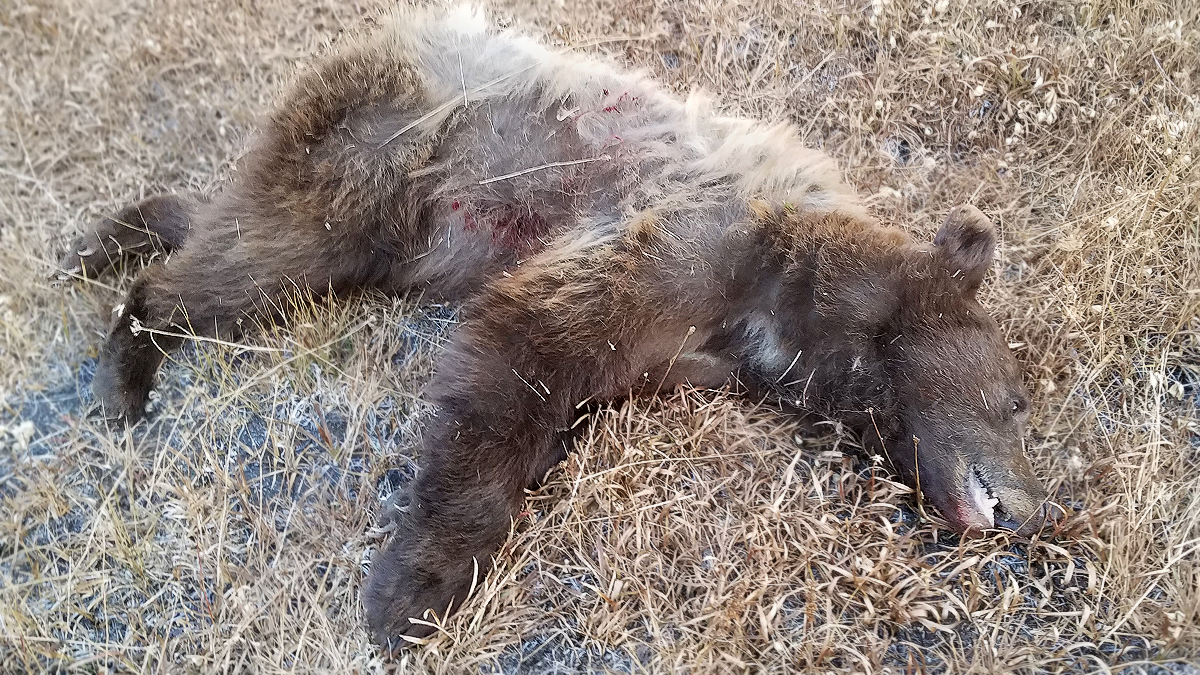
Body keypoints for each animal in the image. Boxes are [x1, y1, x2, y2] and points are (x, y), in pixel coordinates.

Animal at [63, 6, 1060, 648]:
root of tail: (378, 31)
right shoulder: (679, 242)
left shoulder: (684, 333)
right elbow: (517, 354)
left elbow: (561, 388)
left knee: (233, 225)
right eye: (1015, 401)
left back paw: (106, 238)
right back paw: (125, 365)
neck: (788, 291)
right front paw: (412, 591)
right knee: (246, 268)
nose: (1037, 510)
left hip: (376, 219)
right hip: (370, 159)